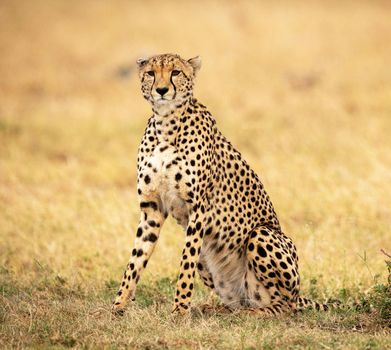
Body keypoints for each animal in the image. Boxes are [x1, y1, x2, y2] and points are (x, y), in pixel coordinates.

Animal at [112, 53, 328, 316]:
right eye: (151, 73)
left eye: (175, 72)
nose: (162, 90)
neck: (166, 123)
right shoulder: (151, 209)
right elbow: (135, 261)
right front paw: (118, 306)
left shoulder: (198, 208)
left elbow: (185, 264)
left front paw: (180, 310)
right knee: (242, 299)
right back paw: (219, 309)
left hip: (261, 234)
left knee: (285, 305)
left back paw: (254, 314)